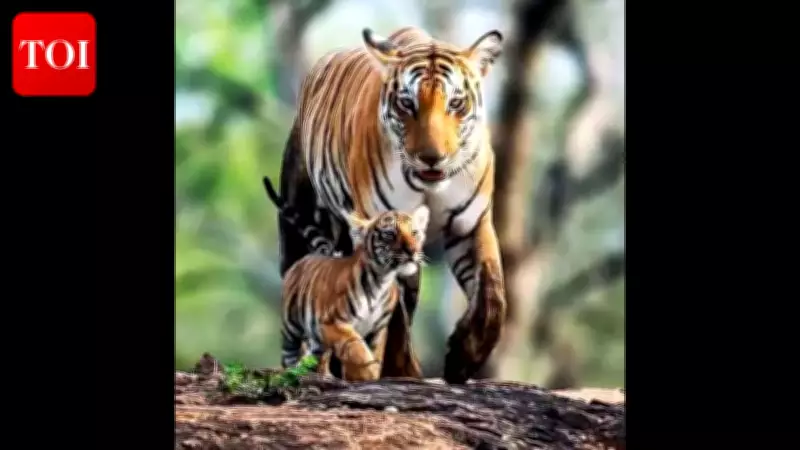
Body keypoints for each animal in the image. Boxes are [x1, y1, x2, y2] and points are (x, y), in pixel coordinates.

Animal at [279, 204, 430, 381]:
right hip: (291, 327)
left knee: (317, 355)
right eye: (389, 234)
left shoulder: (378, 329)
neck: (381, 280)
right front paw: (366, 375)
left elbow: (374, 354)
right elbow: (356, 347)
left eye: (415, 233)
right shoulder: (332, 322)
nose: (412, 251)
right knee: (289, 355)